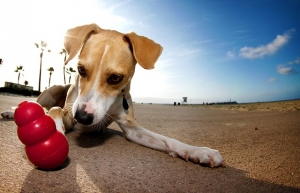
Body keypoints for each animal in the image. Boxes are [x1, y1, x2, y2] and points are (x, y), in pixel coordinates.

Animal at [2, 23, 224, 167]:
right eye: (80, 70)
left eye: (116, 78)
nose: (82, 117)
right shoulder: (69, 111)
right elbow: (56, 111)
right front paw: (55, 133)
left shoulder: (132, 128)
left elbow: (168, 140)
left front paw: (200, 151)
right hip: (53, 89)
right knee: (39, 105)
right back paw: (13, 111)